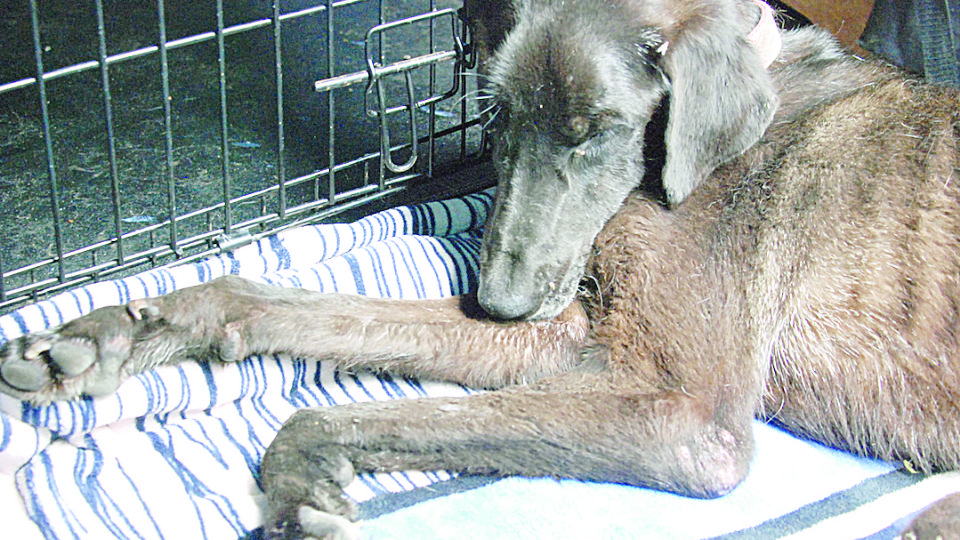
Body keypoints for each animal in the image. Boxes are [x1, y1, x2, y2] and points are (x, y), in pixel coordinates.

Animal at [1, 0, 960, 536]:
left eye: (596, 130)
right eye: (493, 115)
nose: (495, 303)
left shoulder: (687, 416)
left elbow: (326, 416)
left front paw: (301, 486)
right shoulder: (562, 338)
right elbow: (277, 301)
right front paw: (121, 333)